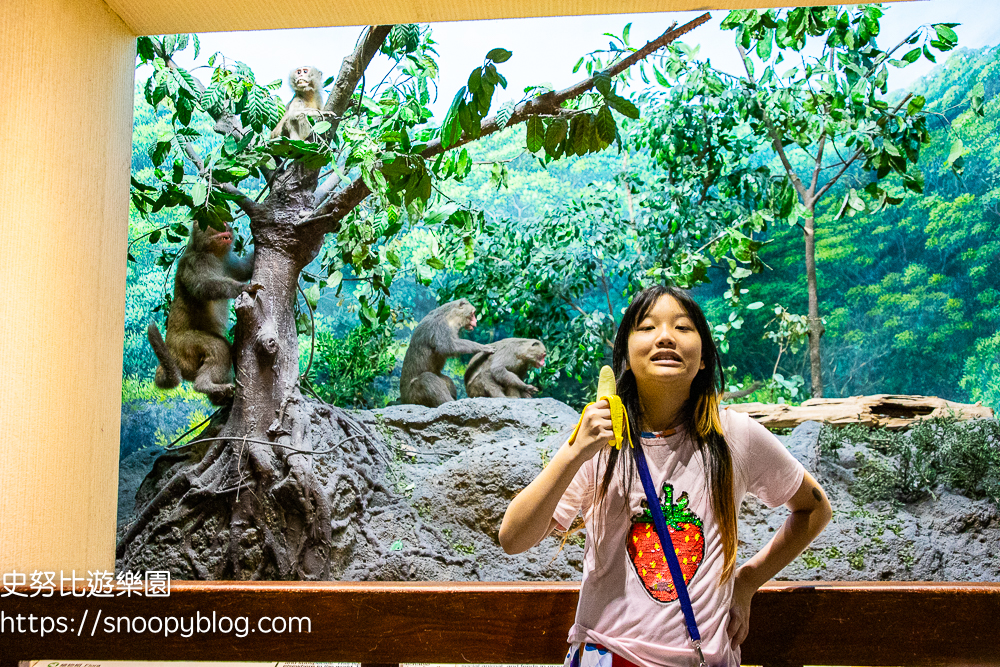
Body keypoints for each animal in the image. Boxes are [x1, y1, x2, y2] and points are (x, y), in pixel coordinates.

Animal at [150, 222, 258, 404]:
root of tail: (171, 352)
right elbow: (205, 286)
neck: (210, 252)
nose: (227, 227)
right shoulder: (195, 262)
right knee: (220, 347)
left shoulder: (227, 261)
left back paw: (220, 398)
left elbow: (243, 270)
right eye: (219, 223)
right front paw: (242, 288)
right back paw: (204, 385)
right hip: (185, 345)